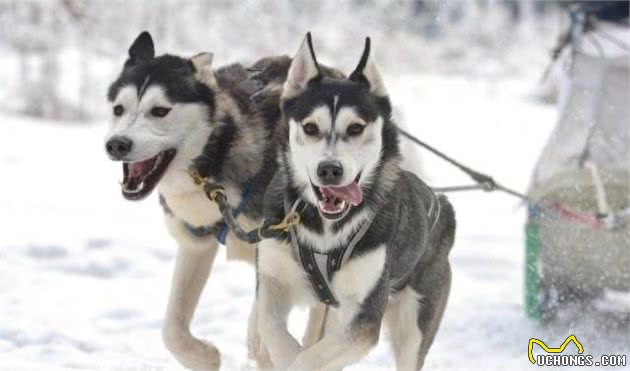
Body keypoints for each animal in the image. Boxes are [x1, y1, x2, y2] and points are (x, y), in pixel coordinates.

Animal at [105, 31, 348, 370]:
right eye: (119, 109)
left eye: (160, 110)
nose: (116, 144)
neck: (213, 160)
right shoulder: (196, 245)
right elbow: (172, 330)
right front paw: (204, 356)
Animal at [258, 33, 460, 370]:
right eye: (310, 127)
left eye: (355, 128)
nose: (329, 169)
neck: (325, 231)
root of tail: (442, 206)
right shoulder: (273, 280)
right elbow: (272, 329)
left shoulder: (364, 318)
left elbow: (309, 358)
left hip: (413, 327)